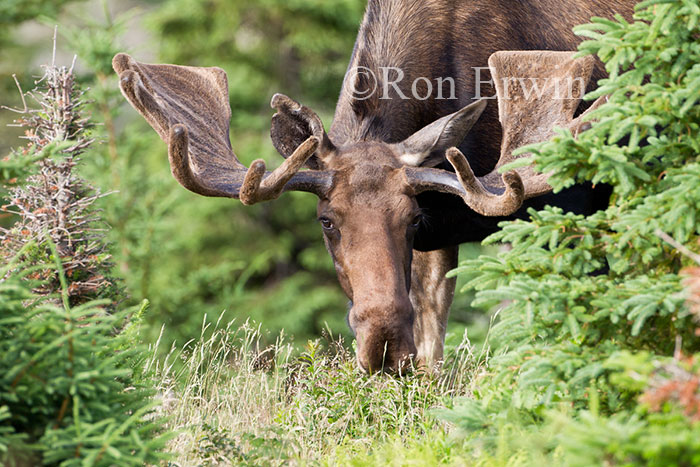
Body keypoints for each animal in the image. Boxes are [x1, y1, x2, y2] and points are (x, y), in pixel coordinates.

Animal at [112, 0, 636, 372]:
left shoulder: (566, 203)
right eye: (326, 222)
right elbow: (431, 326)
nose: (383, 347)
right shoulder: (440, 236)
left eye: (412, 218)